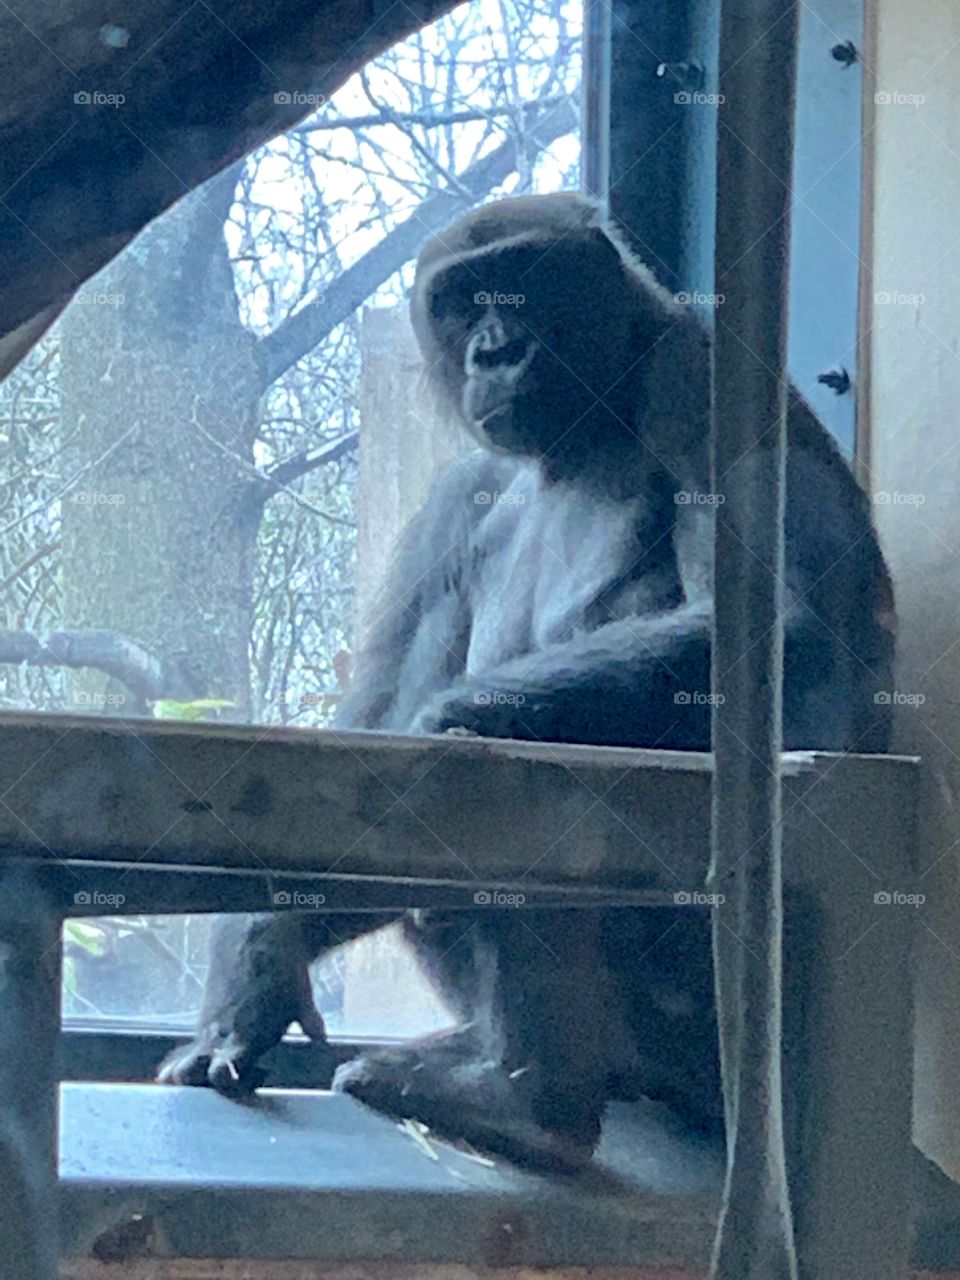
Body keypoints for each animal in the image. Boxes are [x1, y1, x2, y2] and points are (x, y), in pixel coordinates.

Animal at [158, 192, 895, 1172]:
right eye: (463, 300)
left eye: (526, 280)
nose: (496, 349)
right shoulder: (454, 498)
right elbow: (362, 745)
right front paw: (257, 947)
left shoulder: (701, 378)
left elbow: (782, 636)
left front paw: (443, 729)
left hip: (728, 1048)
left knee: (541, 776)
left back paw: (530, 1102)